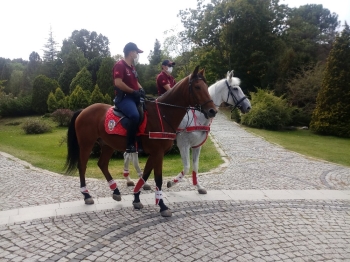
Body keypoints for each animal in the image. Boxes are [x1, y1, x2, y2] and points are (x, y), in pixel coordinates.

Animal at [63, 66, 216, 217]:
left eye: (206, 86)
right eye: (197, 87)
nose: (212, 111)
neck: (163, 113)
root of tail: (84, 110)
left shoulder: (155, 153)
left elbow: (146, 175)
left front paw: (136, 199)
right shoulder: (158, 153)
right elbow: (158, 179)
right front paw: (162, 206)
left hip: (107, 145)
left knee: (102, 164)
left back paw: (115, 191)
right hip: (86, 144)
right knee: (82, 166)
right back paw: (87, 195)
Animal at [121, 70, 250, 193]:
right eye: (235, 88)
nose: (248, 106)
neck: (198, 116)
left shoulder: (197, 146)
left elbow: (195, 167)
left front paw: (199, 187)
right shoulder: (183, 144)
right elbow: (187, 166)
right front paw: (171, 182)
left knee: (127, 155)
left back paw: (130, 180)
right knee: (132, 158)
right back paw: (141, 182)